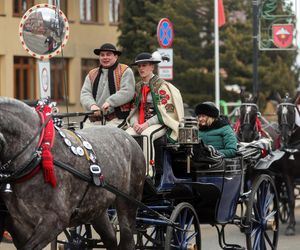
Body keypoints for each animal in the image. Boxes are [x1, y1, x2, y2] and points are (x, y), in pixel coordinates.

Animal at [0, 96, 146, 249]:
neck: (37, 152)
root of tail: (129, 138)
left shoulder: (54, 220)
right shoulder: (19, 225)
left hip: (127, 203)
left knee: (127, 239)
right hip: (96, 208)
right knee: (110, 237)